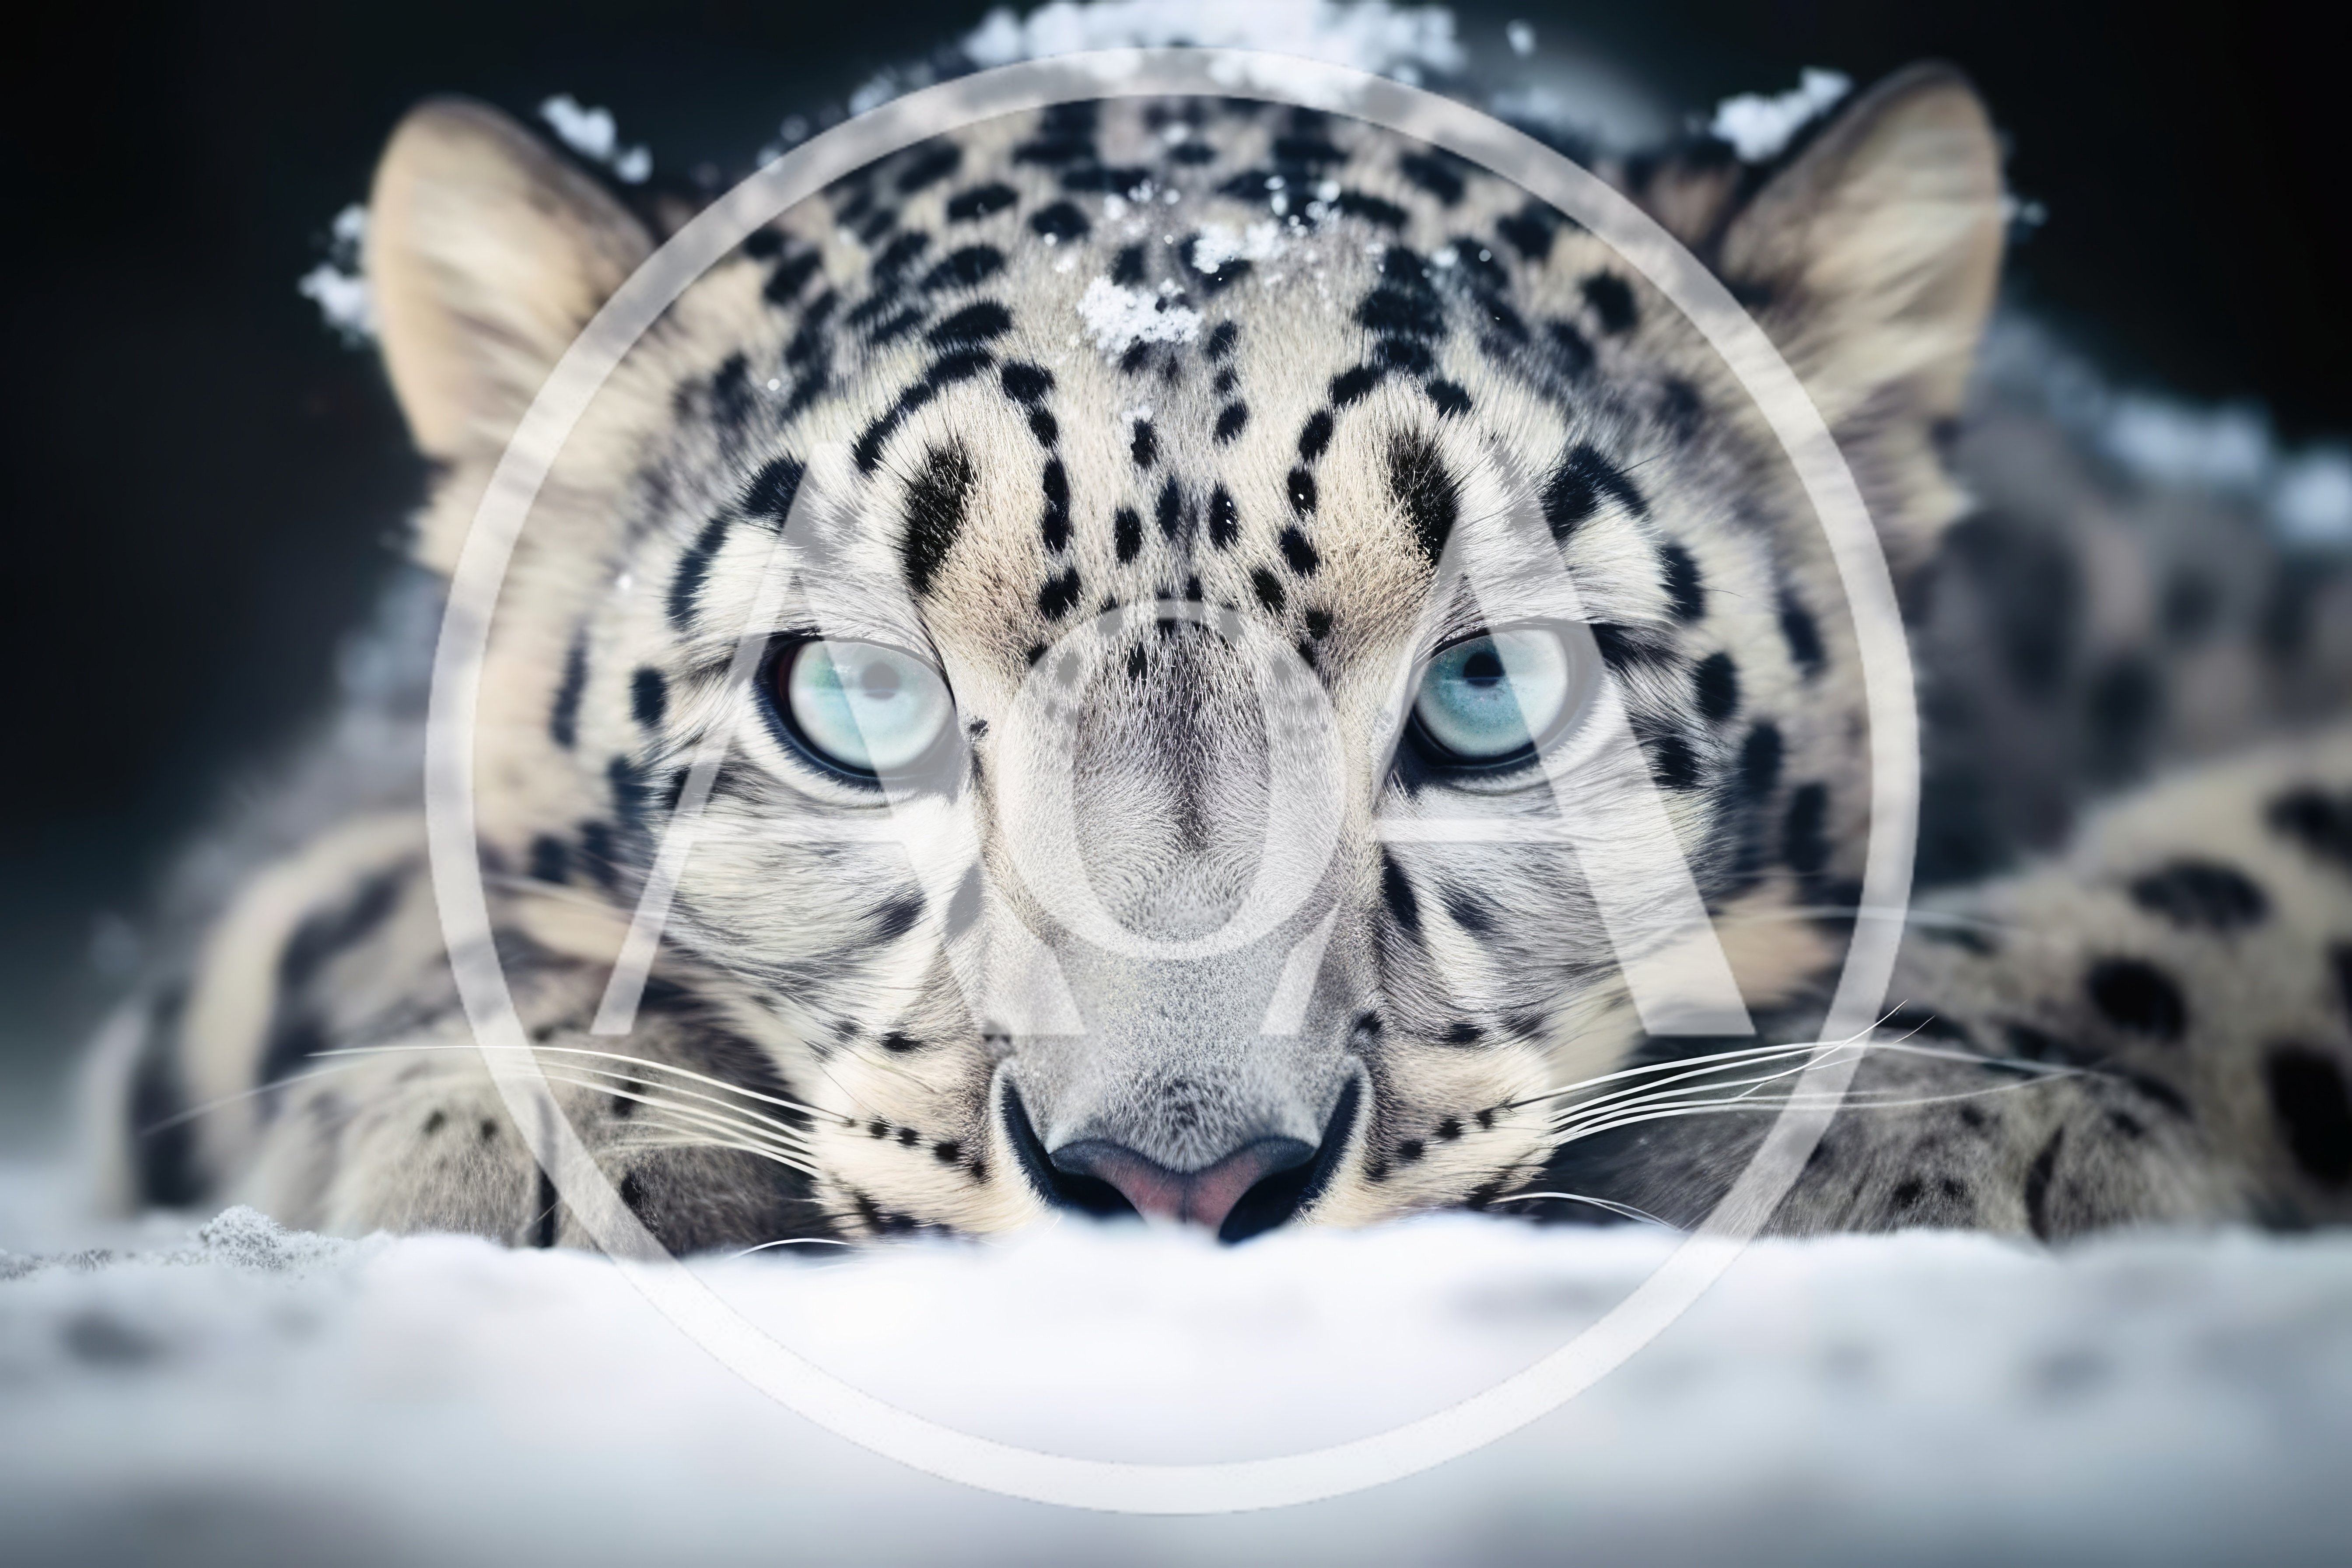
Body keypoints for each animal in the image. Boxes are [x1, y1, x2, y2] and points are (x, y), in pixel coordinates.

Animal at [78, 58, 2352, 1252]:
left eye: (1492, 688)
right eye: (854, 699)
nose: (1183, 1177)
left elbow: (2262, 861)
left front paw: (1925, 1113)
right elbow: (364, 915)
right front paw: (559, 1140)